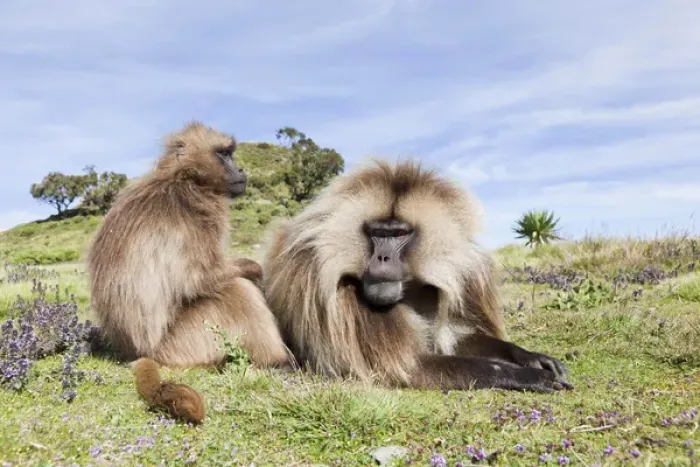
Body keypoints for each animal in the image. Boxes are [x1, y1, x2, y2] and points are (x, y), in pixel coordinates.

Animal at [87, 122, 294, 417]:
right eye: (223, 154)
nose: (241, 171)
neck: (184, 176)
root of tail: (142, 353)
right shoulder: (201, 210)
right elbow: (198, 279)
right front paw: (256, 270)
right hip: (184, 343)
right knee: (236, 289)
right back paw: (277, 361)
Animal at [261, 159, 573, 393]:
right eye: (377, 233)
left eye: (400, 234)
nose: (382, 258)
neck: (410, 291)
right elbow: (407, 368)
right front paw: (527, 376)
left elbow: (453, 339)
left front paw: (531, 358)